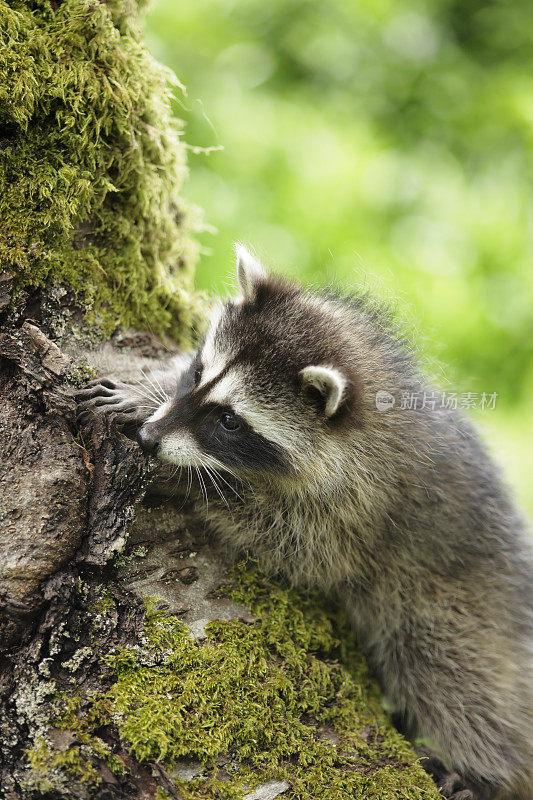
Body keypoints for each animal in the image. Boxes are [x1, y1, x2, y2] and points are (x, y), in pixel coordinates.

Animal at [77, 245, 532, 800]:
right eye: (198, 373)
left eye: (229, 421)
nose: (148, 438)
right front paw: (149, 394)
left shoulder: (364, 507)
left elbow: (297, 546)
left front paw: (192, 480)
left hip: (459, 614)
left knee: (457, 684)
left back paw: (486, 771)